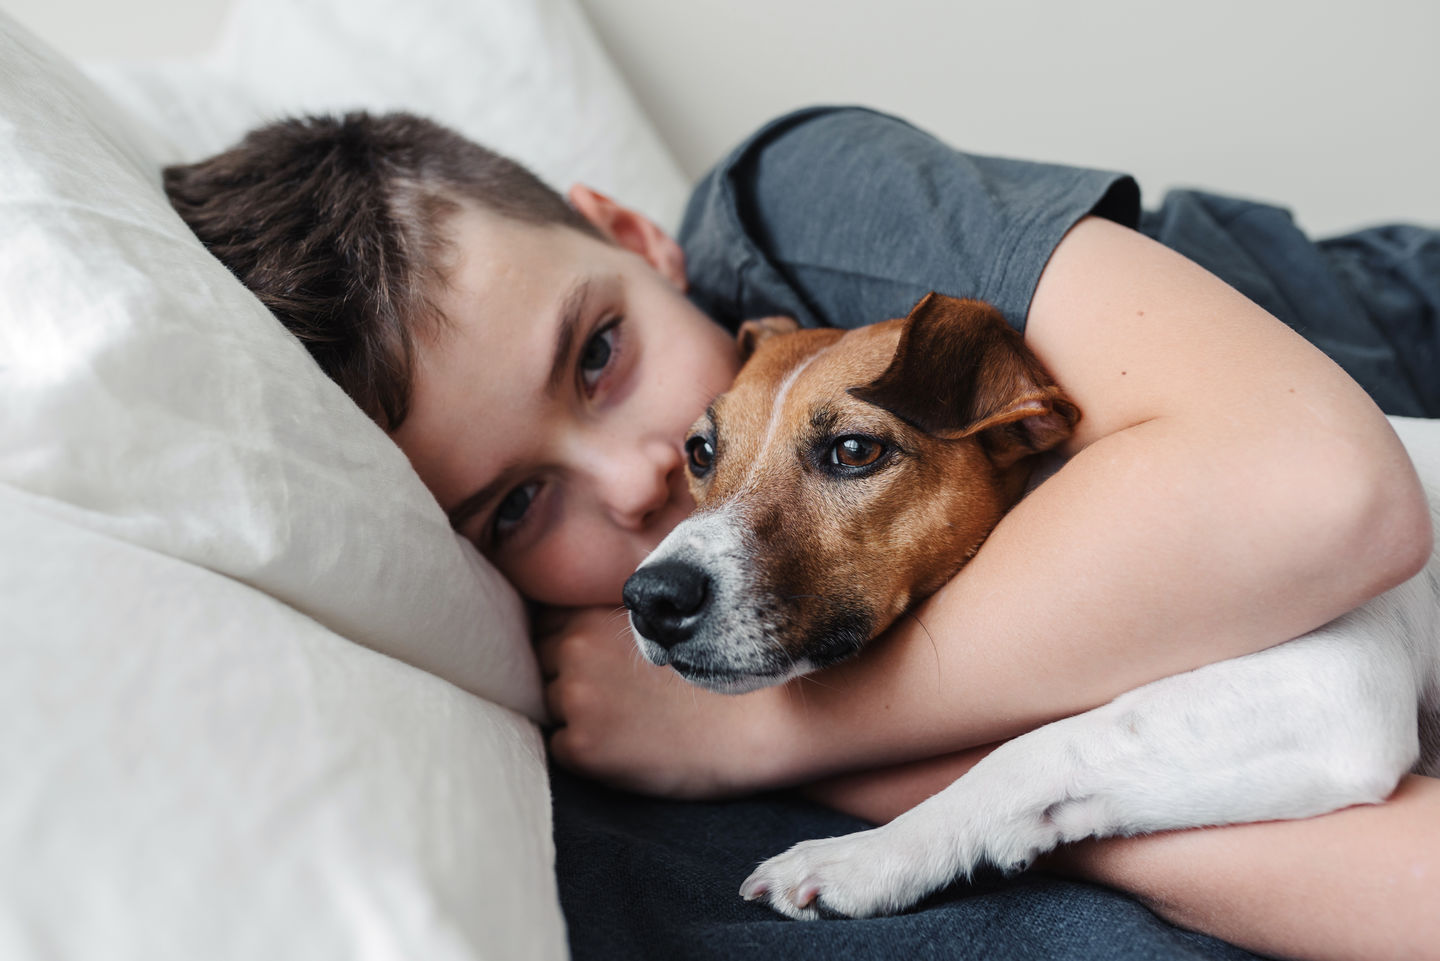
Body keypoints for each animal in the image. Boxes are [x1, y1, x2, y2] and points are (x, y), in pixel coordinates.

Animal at [622, 295, 1440, 922]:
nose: (651, 597)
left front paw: (866, 856)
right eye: (700, 451)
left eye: (855, 450)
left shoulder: (1337, 684)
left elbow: (1035, 748)